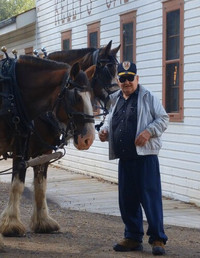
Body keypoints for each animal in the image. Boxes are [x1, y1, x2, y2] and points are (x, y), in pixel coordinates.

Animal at [0, 54, 95, 238]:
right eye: (76, 97)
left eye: (91, 96)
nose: (88, 138)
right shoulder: (21, 149)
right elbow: (17, 185)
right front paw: (11, 224)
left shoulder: (43, 151)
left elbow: (40, 186)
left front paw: (43, 222)